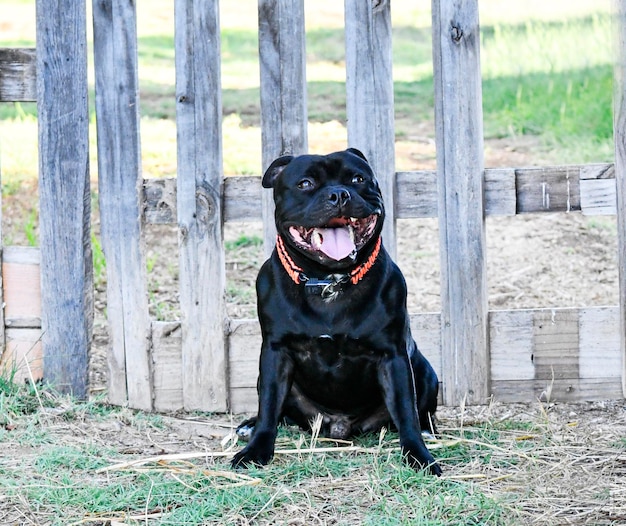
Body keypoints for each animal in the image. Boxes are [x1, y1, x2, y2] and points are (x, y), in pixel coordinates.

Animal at [232, 148, 442, 478]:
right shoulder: (275, 353)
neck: (329, 282)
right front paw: (256, 449)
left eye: (357, 179)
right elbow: (268, 406)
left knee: (420, 410)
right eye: (305, 184)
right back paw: (249, 426)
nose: (339, 194)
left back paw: (427, 431)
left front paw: (419, 455)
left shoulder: (393, 356)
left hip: (425, 372)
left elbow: (406, 411)